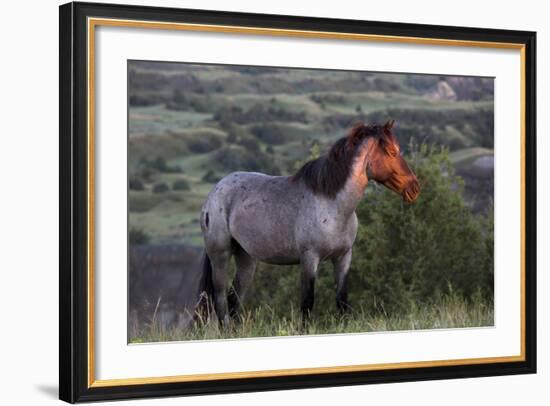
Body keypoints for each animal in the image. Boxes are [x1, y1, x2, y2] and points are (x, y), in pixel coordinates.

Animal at [201, 119, 420, 326]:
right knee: (220, 300)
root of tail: (214, 192)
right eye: (392, 151)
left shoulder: (343, 257)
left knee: (233, 299)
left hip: (246, 258)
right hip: (220, 256)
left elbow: (342, 300)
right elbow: (307, 302)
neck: (332, 205)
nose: (415, 187)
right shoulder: (309, 259)